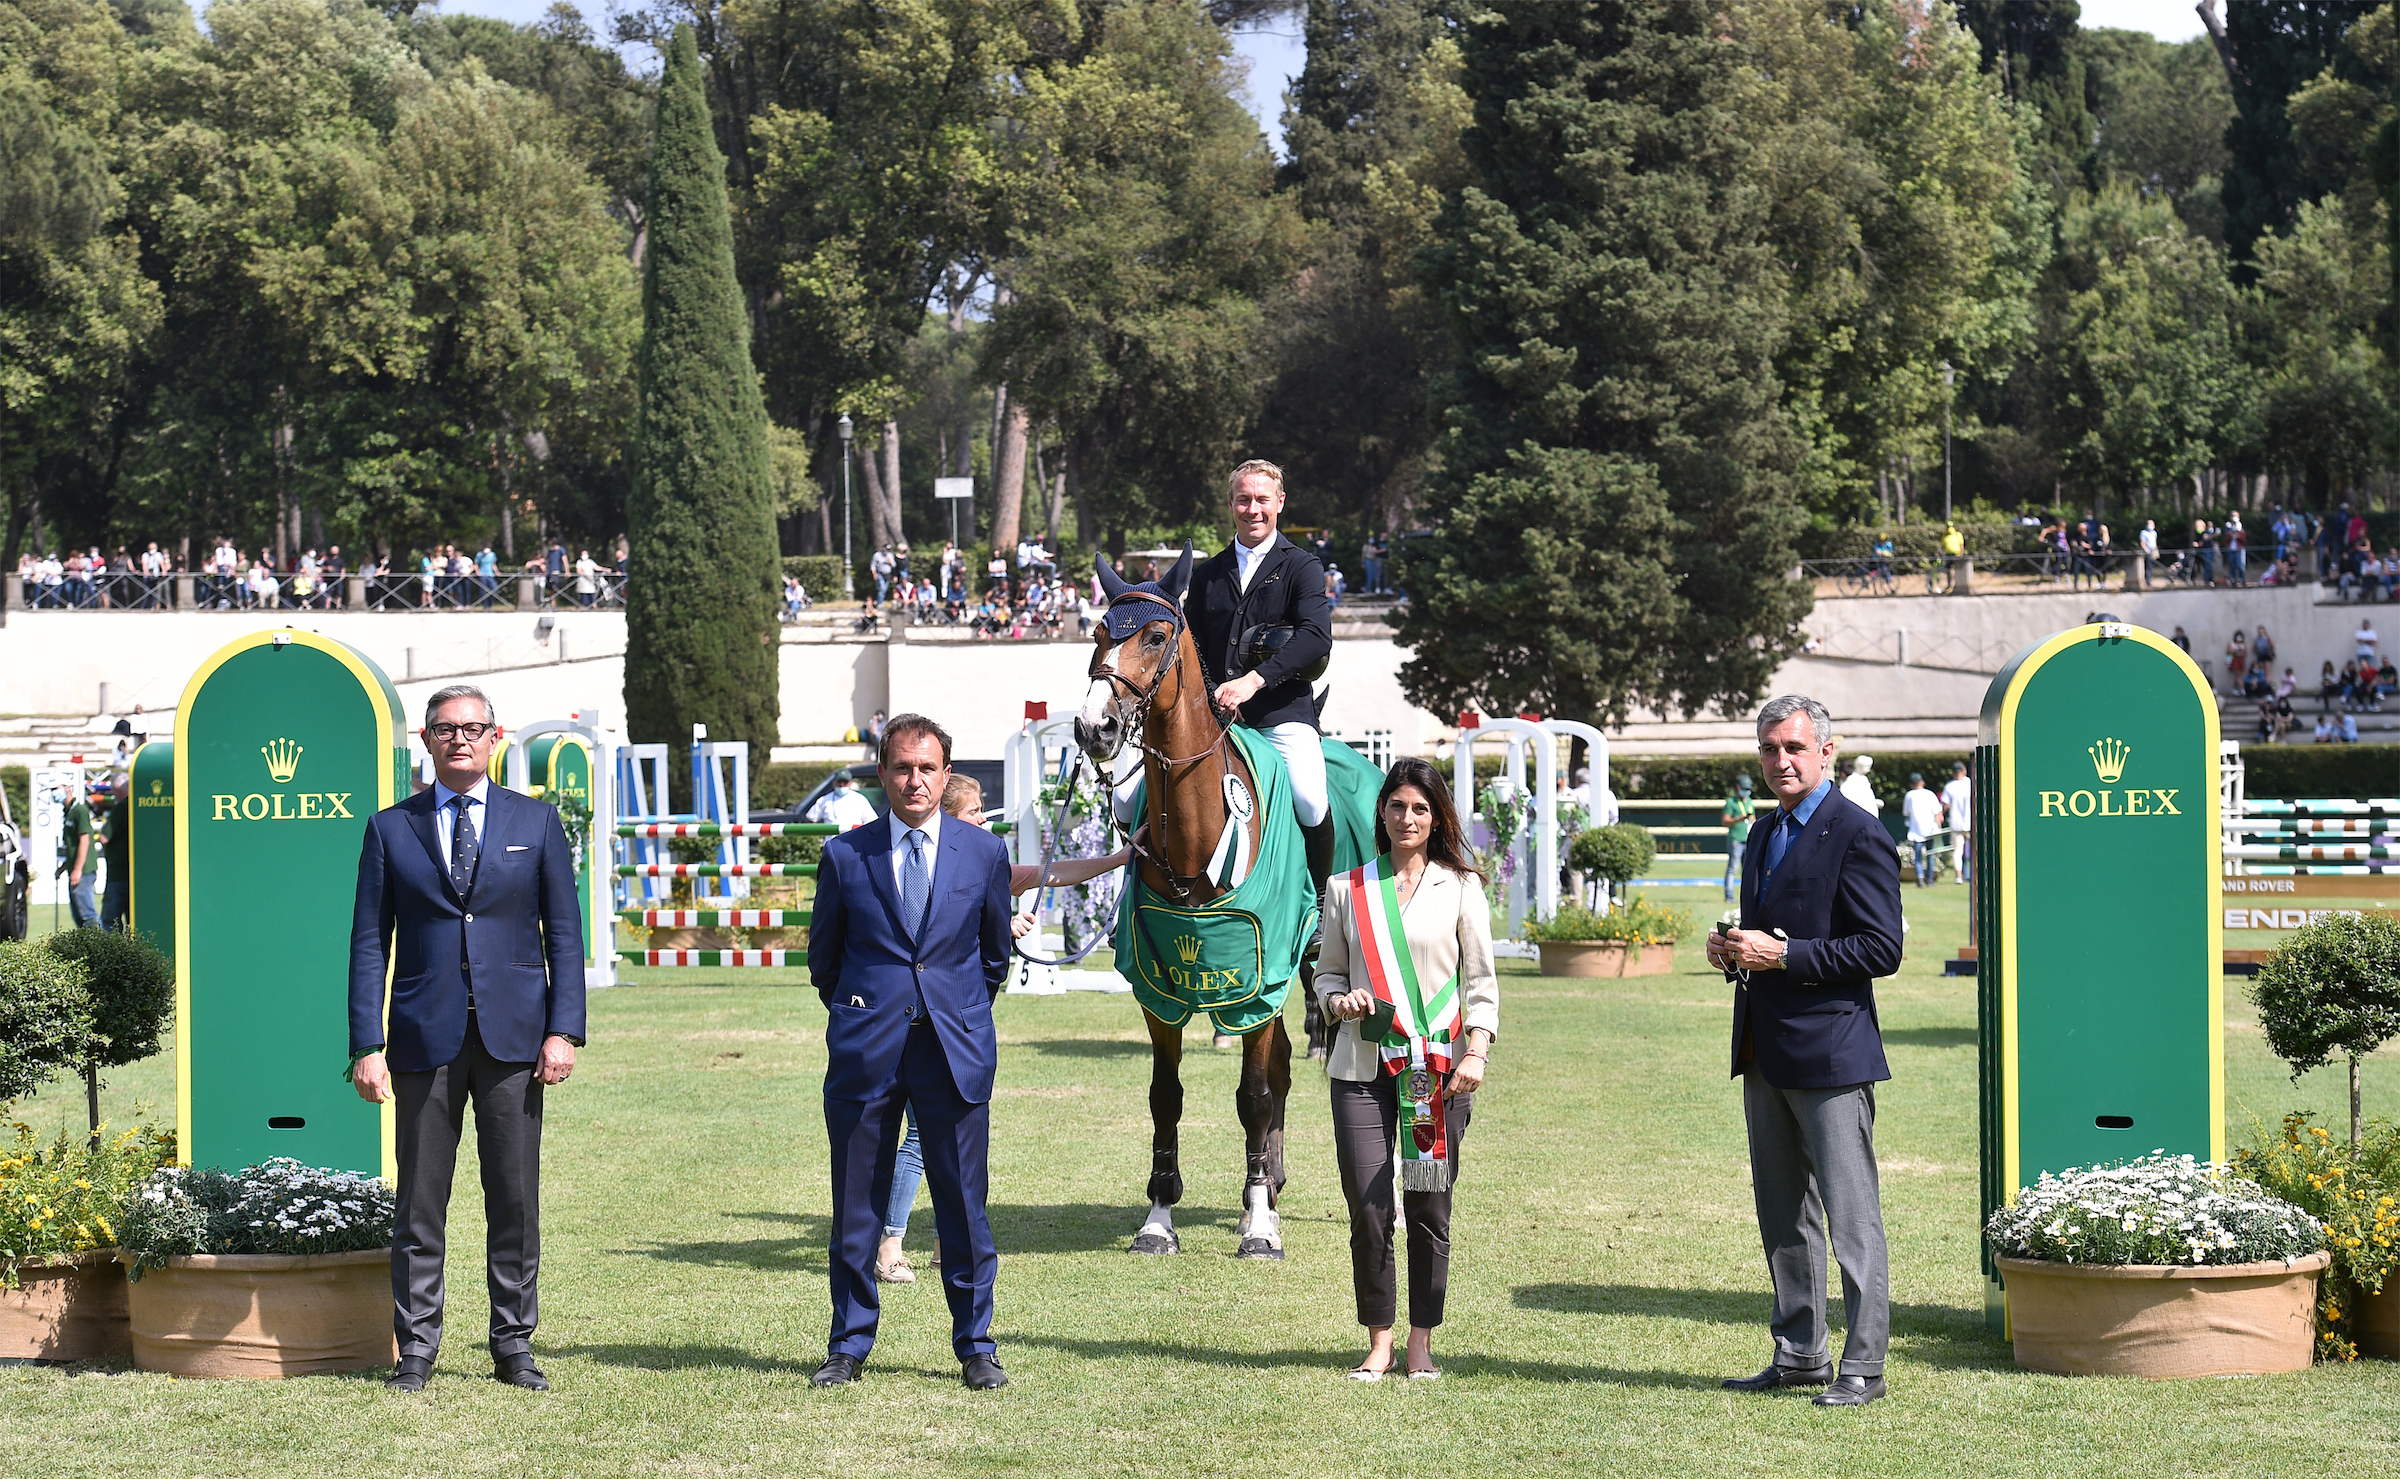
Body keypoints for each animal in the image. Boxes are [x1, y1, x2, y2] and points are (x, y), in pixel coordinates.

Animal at [1075, 545, 1296, 1258]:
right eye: (1097, 633)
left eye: (1154, 636)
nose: (1094, 728)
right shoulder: (1160, 989)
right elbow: (1164, 1095)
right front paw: (1158, 1219)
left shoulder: (1258, 985)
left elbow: (1253, 1095)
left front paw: (1260, 1226)